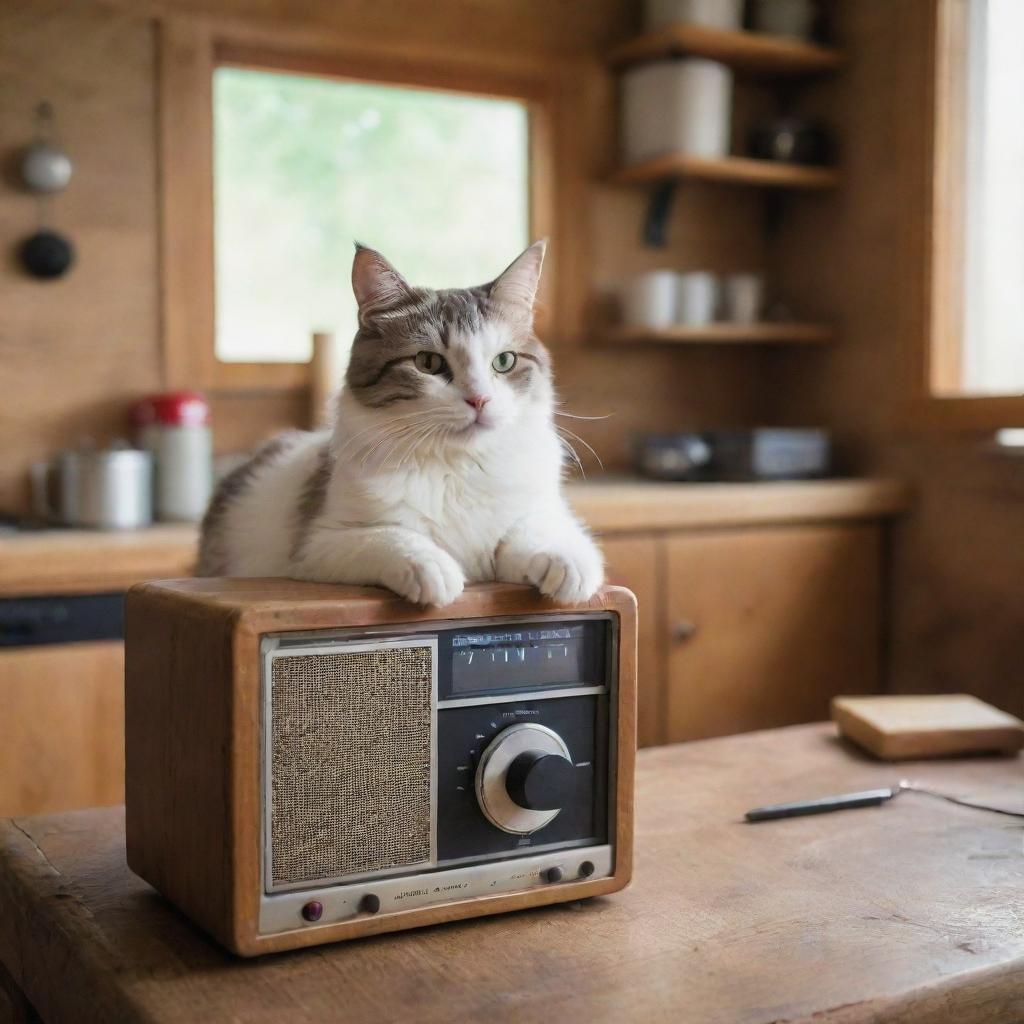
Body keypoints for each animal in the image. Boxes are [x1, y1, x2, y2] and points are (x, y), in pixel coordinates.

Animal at [195, 239, 602, 606]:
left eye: (503, 362)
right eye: (428, 363)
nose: (479, 399)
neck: (456, 467)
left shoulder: (539, 511)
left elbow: (539, 532)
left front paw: (567, 564)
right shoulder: (319, 544)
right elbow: (390, 537)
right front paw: (434, 568)